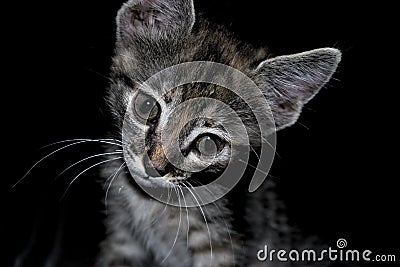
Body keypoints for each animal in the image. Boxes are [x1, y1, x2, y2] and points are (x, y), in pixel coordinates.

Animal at [97, 0, 340, 267]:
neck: (150, 202)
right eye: (147, 106)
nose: (154, 167)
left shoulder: (220, 244)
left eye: (208, 143)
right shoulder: (122, 233)